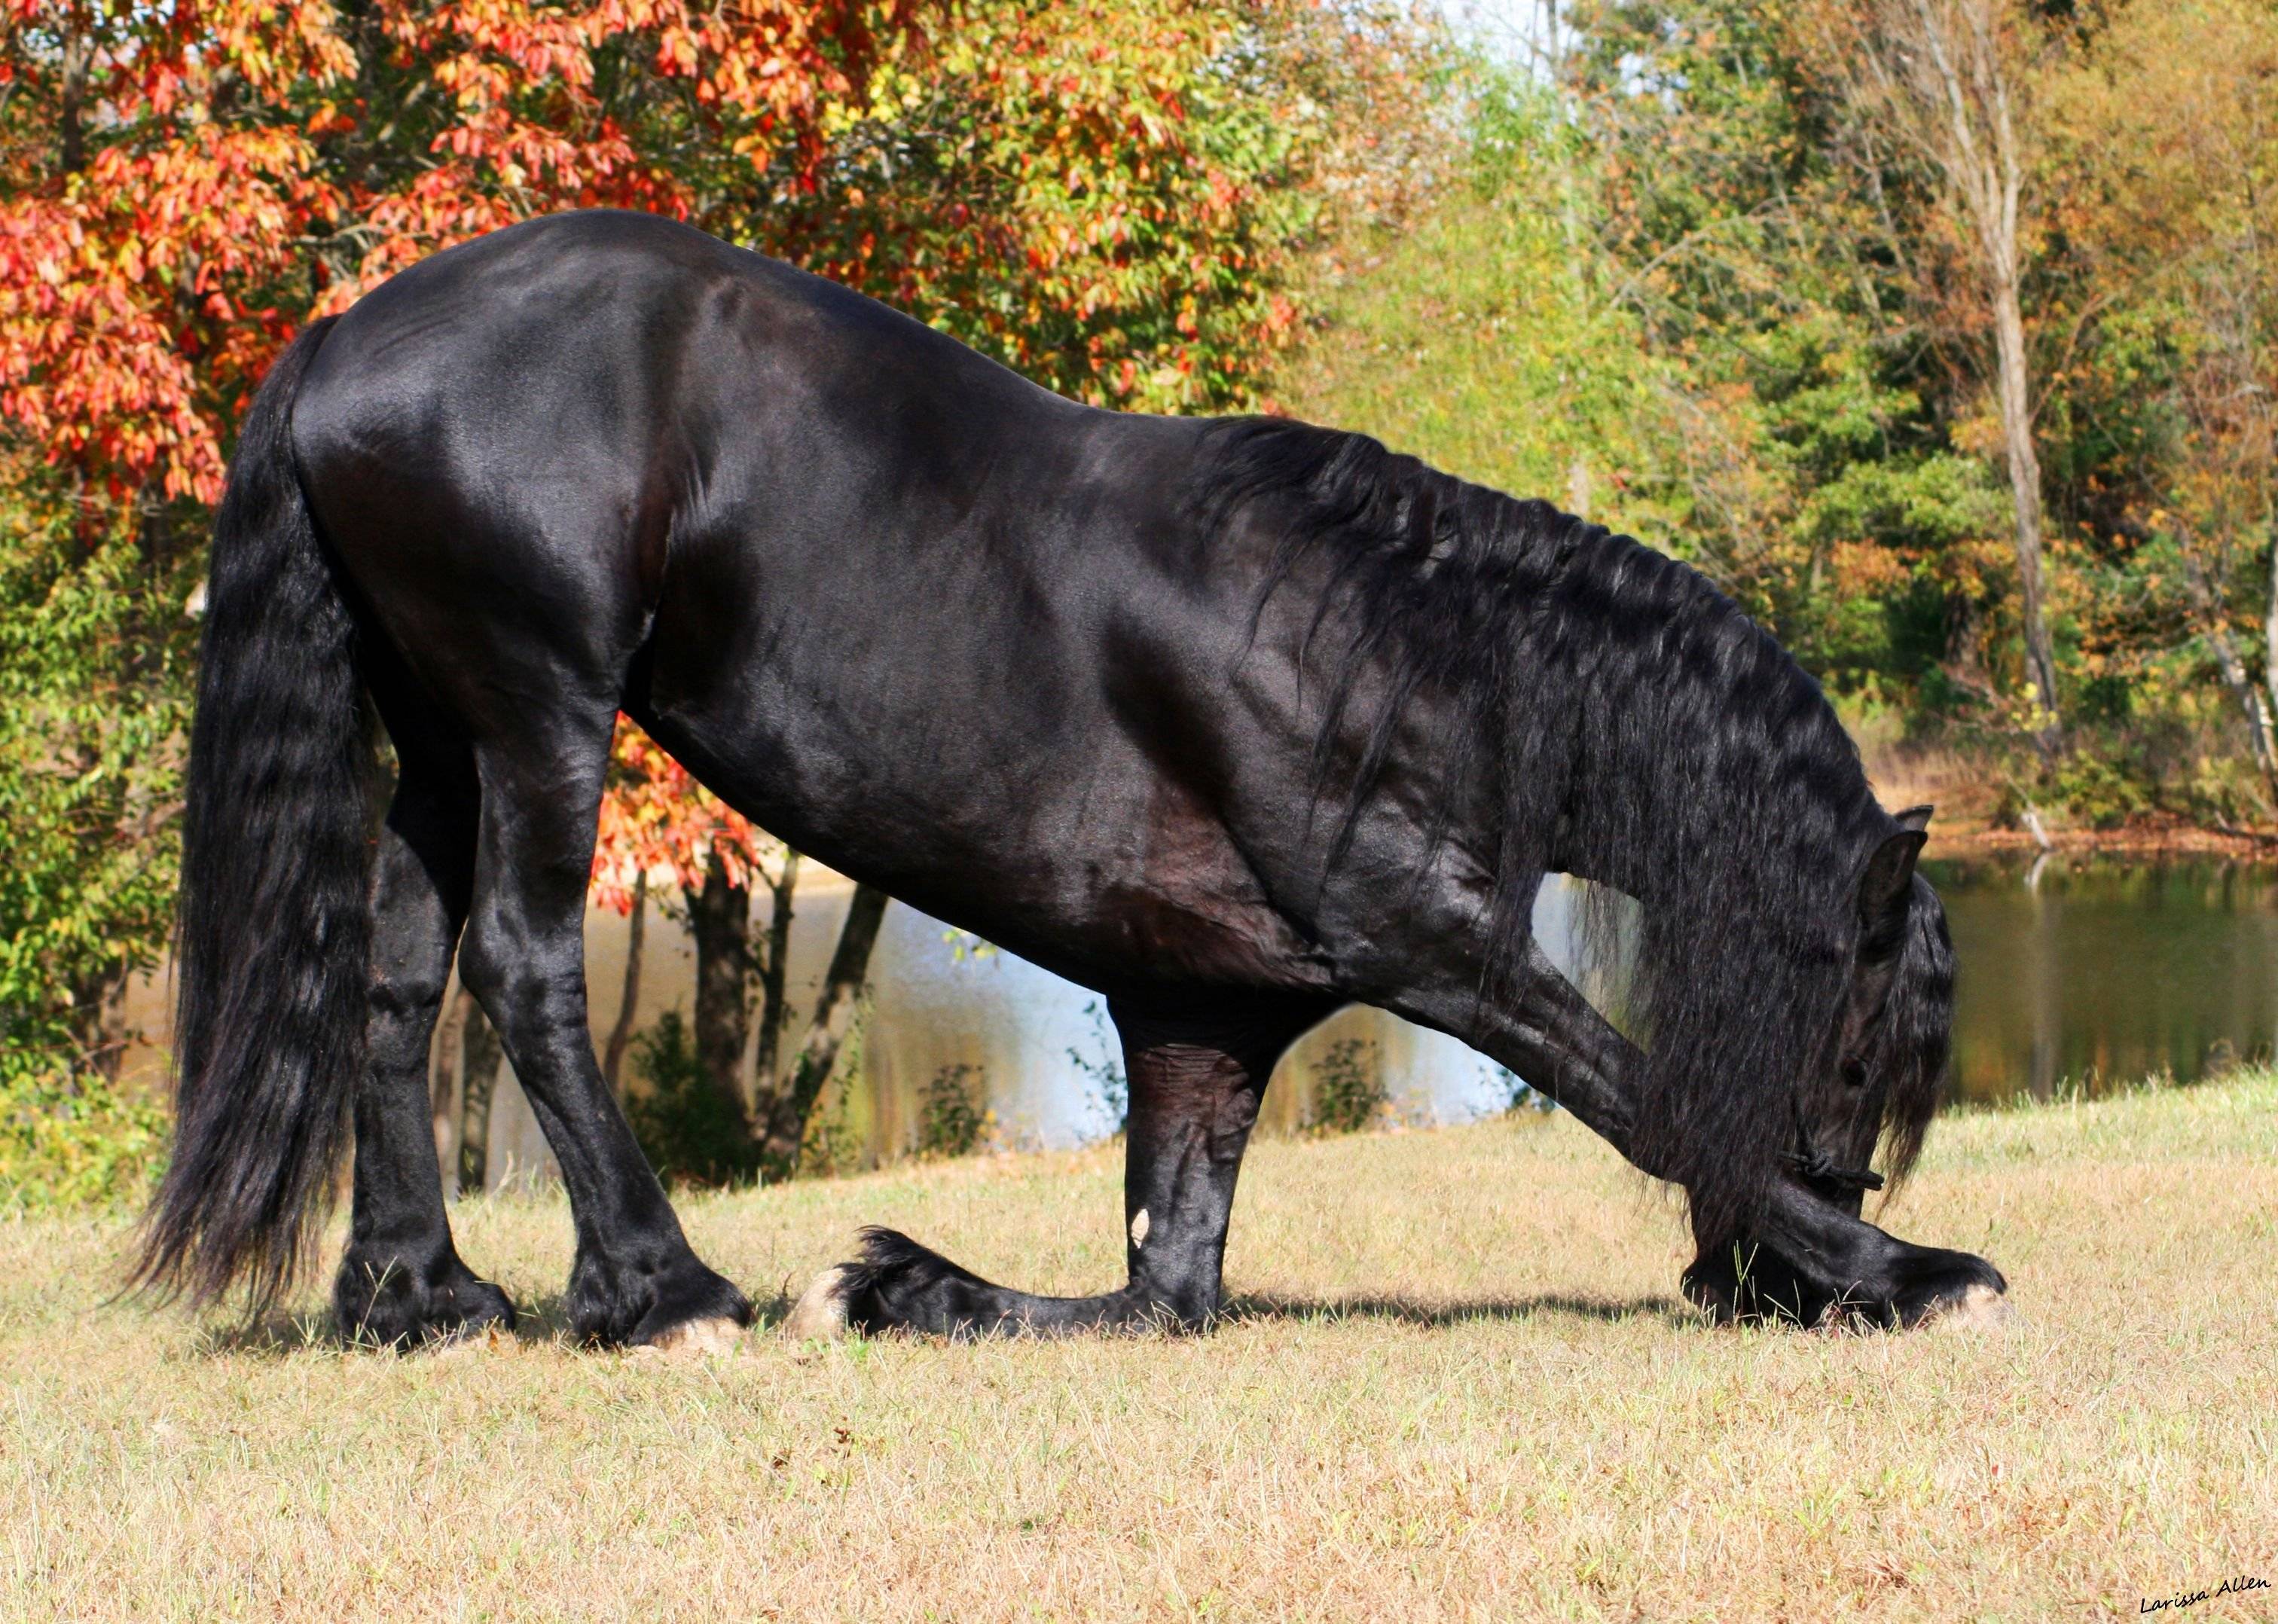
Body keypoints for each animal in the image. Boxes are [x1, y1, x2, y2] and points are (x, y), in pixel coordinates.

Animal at [137, 206, 2014, 1339]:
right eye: (1862, 1039)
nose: (1754, 1286)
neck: (1383, 641)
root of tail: (346, 339)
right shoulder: (1431, 944)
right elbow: (1636, 1091)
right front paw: (1913, 1266)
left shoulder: (1206, 1019)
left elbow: (1162, 1283)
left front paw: (908, 1283)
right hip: (538, 707)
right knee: (528, 972)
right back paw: (661, 1286)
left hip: (437, 729)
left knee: (393, 981)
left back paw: (416, 1289)